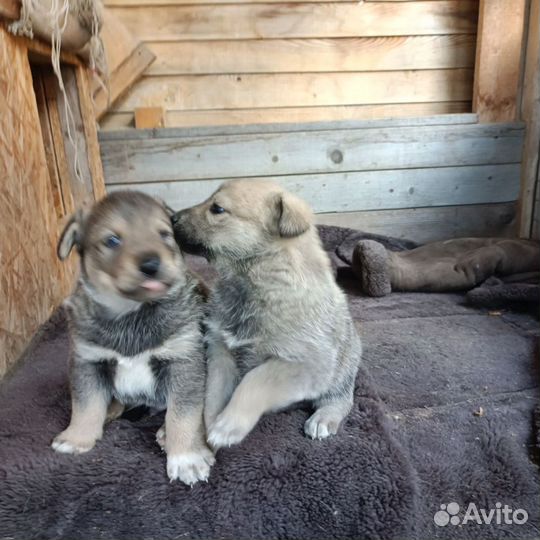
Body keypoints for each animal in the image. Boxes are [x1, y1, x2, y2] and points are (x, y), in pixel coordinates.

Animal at [51, 191, 214, 486]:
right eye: (112, 240)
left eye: (164, 234)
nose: (151, 264)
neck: (132, 313)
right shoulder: (87, 361)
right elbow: (85, 404)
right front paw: (77, 438)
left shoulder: (184, 363)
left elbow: (183, 415)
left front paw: (186, 458)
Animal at [173, 179, 362, 450]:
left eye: (217, 209)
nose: (172, 218)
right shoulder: (221, 350)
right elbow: (213, 394)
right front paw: (209, 431)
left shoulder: (303, 363)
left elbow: (256, 380)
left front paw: (228, 426)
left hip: (343, 368)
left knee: (341, 399)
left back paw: (323, 419)